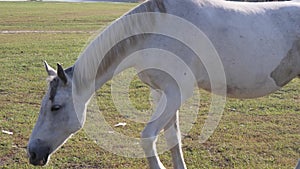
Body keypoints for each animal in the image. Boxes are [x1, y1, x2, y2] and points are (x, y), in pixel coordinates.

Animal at [27, 0, 298, 168]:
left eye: (56, 107)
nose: (32, 153)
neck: (156, 28)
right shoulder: (162, 94)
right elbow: (172, 138)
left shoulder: (177, 94)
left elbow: (148, 137)